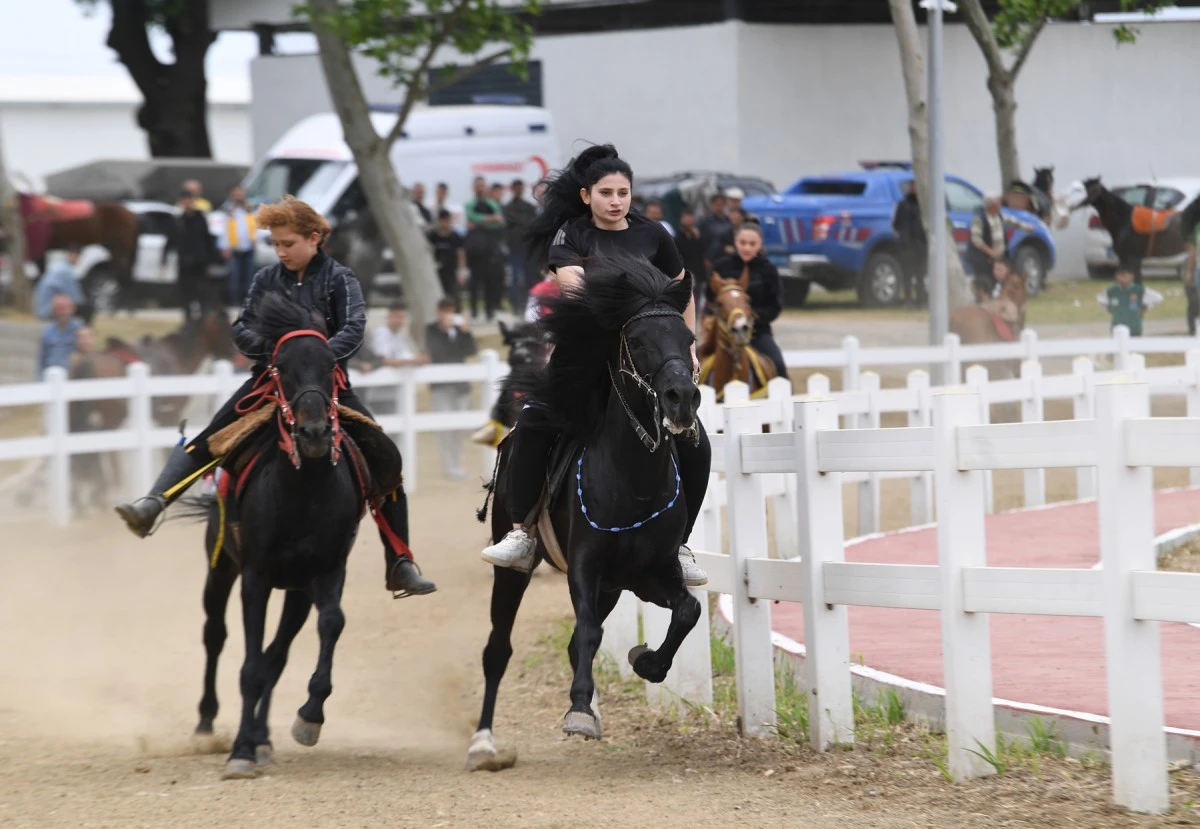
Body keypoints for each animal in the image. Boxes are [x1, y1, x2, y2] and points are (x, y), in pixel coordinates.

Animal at [177, 295, 364, 782]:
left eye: (330, 365)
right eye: (281, 366)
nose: (315, 433)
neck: (303, 493)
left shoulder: (325, 573)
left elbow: (327, 627)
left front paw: (308, 717)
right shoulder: (255, 577)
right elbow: (250, 667)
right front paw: (240, 751)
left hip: (295, 592)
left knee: (275, 656)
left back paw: (263, 738)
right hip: (220, 568)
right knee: (215, 634)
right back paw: (206, 725)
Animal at [463, 254, 700, 772]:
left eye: (689, 339)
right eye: (637, 341)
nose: (682, 397)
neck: (633, 481)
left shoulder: (648, 575)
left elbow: (688, 611)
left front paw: (645, 662)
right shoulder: (585, 566)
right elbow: (589, 630)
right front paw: (578, 712)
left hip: (613, 586)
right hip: (515, 572)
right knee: (497, 650)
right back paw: (483, 744)